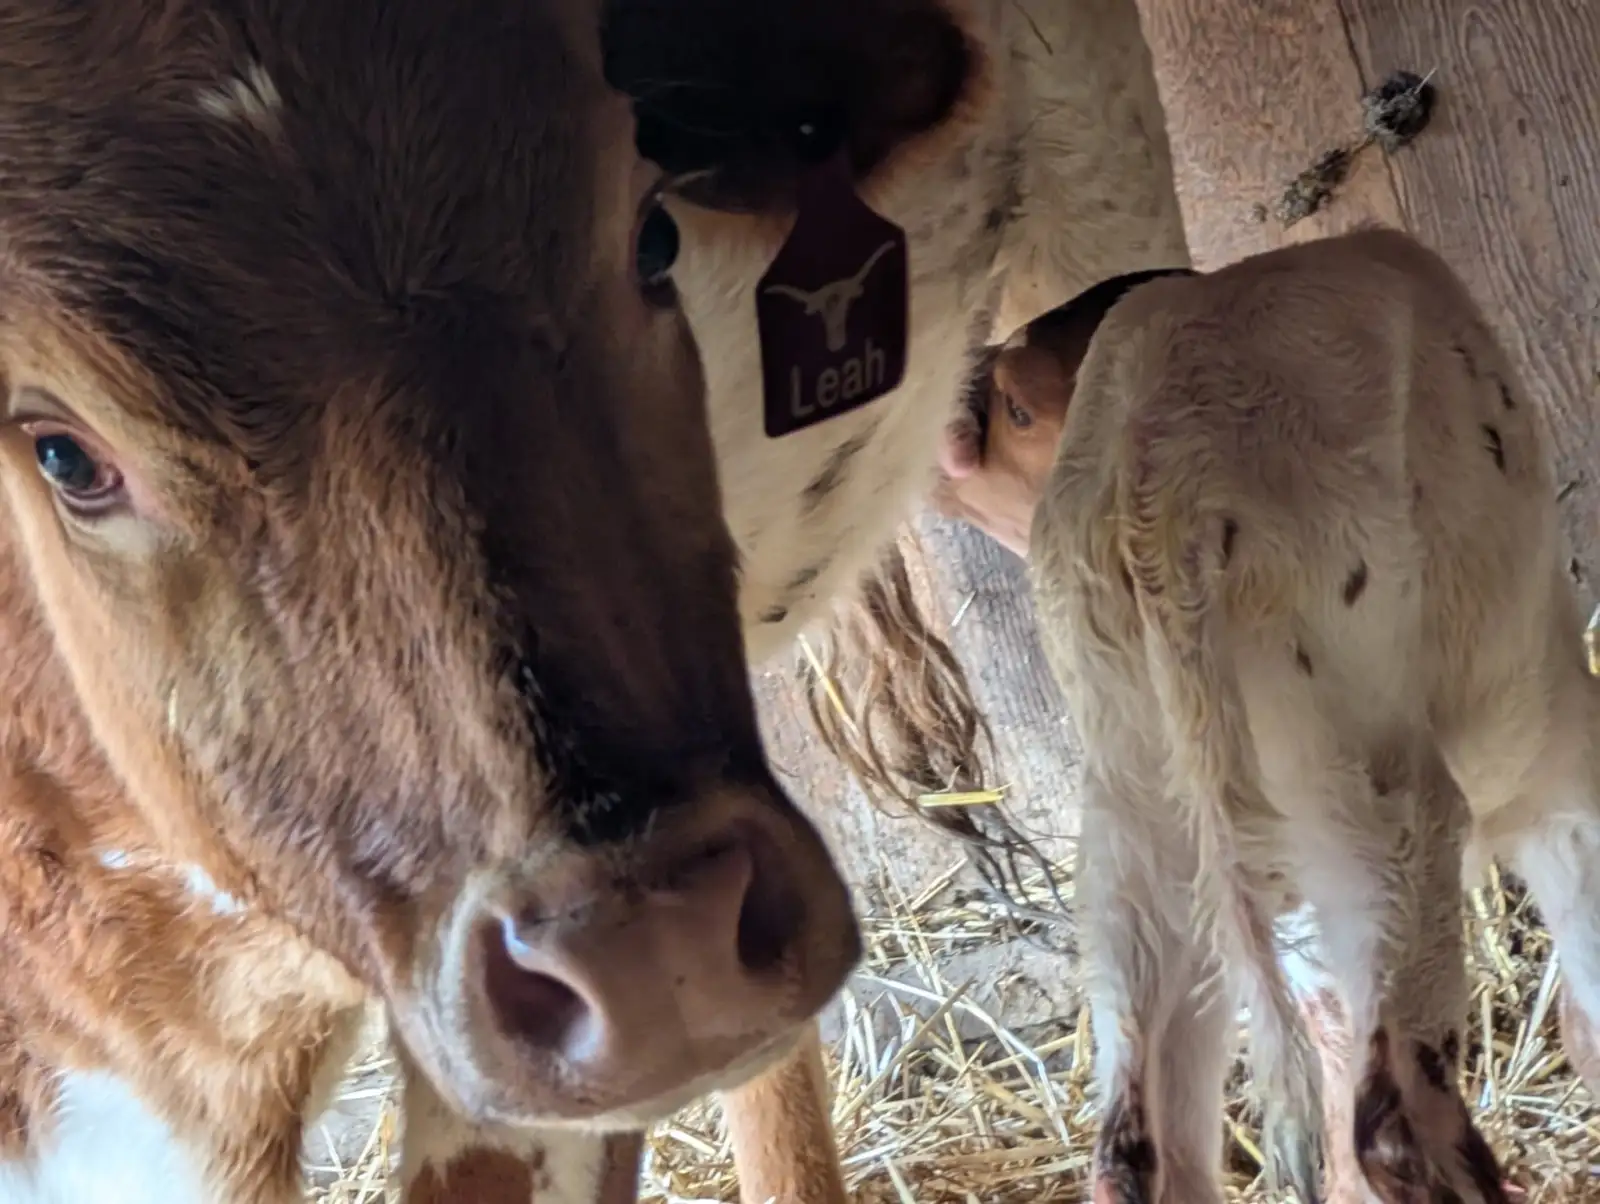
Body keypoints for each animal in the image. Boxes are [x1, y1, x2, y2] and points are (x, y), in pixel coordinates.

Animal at [932, 226, 1600, 1204]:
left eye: (1014, 409)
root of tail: (1154, 481)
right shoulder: (1556, 766)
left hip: (1143, 837)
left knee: (1135, 1144)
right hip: (1372, 797)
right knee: (1391, 1118)